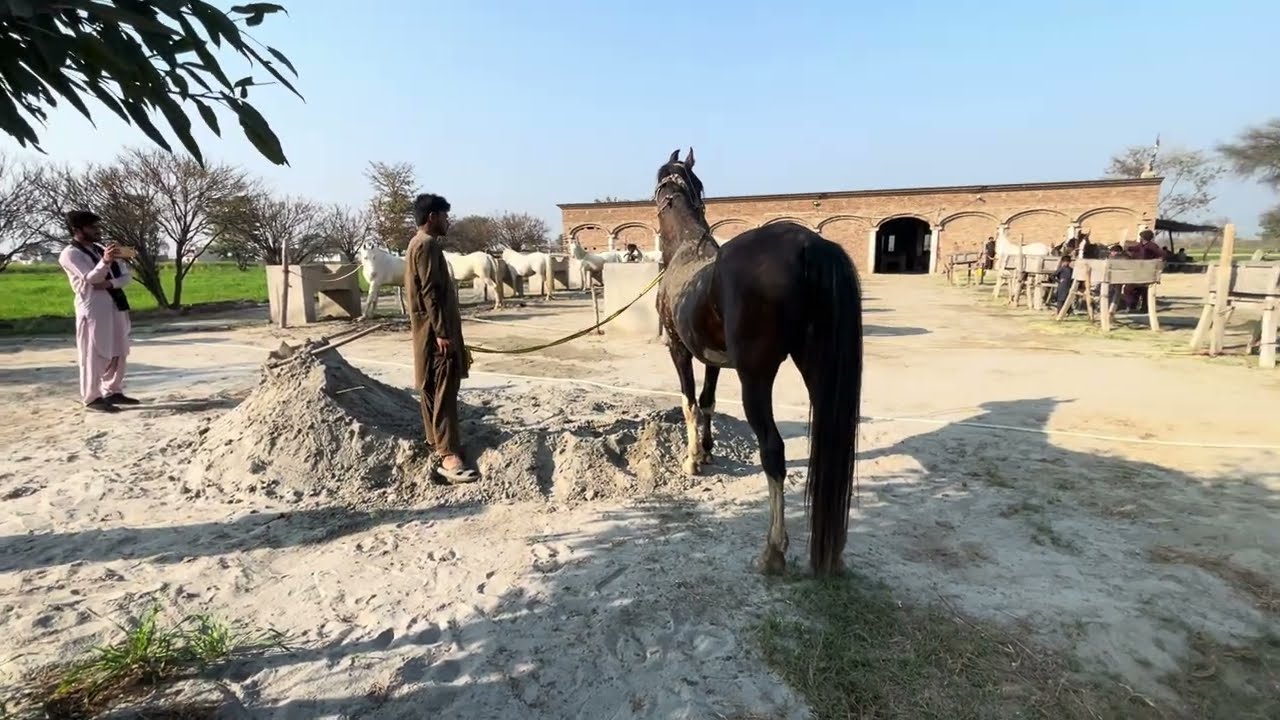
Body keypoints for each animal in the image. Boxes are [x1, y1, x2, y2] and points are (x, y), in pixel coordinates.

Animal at [652, 148, 863, 578]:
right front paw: (707, 450)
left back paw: (772, 551)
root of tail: (809, 245)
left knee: (773, 450)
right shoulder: (712, 359)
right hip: (818, 371)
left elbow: (689, 403)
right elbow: (708, 402)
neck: (686, 250)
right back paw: (833, 553)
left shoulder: (680, 351)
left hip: (756, 378)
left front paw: (692, 460)